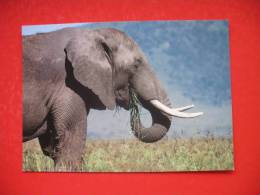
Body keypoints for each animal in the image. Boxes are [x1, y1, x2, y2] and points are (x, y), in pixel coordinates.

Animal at [22, 27, 203, 169]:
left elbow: (51, 146)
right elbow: (70, 142)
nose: (133, 99)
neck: (94, 34)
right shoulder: (68, 86)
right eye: (136, 64)